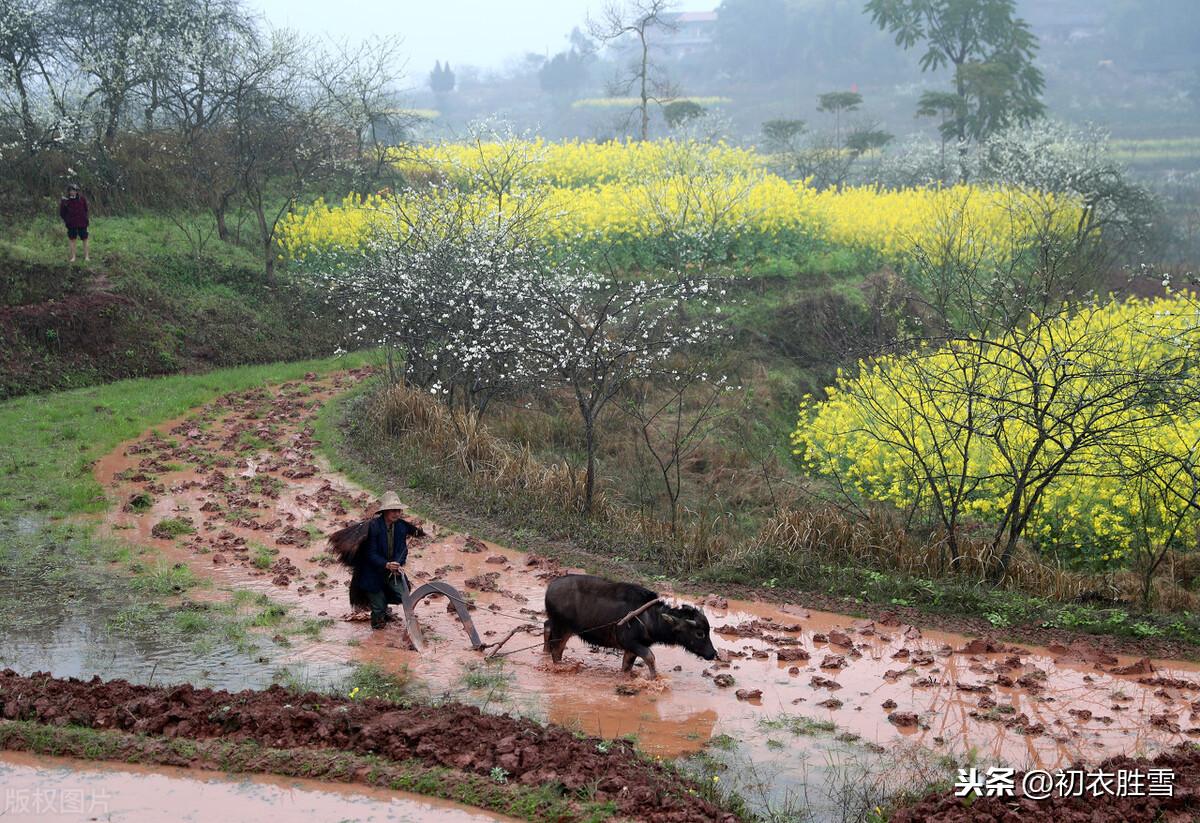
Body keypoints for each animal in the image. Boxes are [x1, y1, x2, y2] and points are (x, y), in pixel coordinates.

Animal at [547, 573, 720, 681]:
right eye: (699, 633)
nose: (712, 654)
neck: (649, 617)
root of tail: (550, 587)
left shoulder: (632, 649)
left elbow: (627, 666)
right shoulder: (631, 643)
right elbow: (650, 657)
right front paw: (654, 678)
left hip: (563, 627)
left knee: (547, 629)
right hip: (561, 627)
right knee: (556, 650)